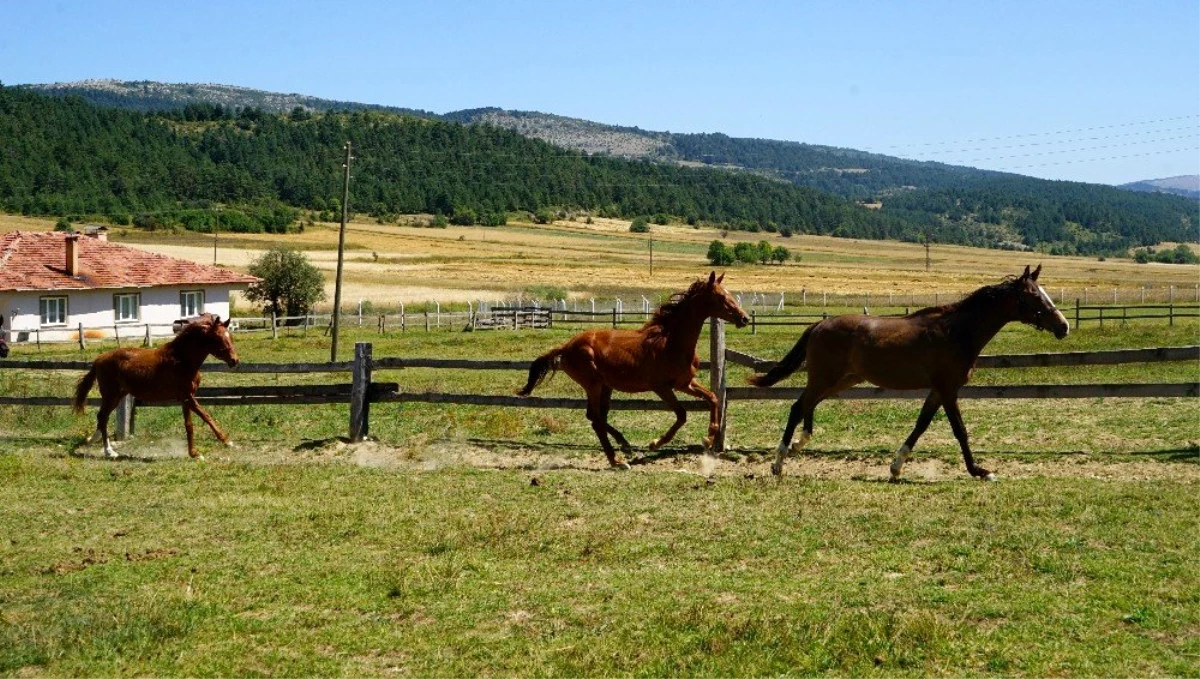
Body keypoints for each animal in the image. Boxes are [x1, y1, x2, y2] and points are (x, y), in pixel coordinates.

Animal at [70, 316, 241, 460]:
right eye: (218, 338)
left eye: (230, 337)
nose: (234, 361)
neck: (181, 359)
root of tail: (99, 359)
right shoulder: (187, 397)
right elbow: (204, 417)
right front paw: (223, 442)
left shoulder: (186, 398)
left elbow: (190, 424)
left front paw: (196, 452)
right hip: (110, 395)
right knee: (103, 417)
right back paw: (109, 451)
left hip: (118, 396)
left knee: (101, 417)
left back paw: (94, 441)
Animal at [518, 271, 748, 467]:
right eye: (720, 296)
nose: (744, 318)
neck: (671, 342)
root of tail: (566, 347)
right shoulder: (662, 387)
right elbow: (682, 414)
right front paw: (655, 443)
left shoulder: (685, 383)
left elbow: (713, 398)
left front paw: (708, 439)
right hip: (592, 384)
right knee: (596, 420)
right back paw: (617, 460)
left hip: (606, 386)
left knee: (595, 416)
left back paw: (625, 446)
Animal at [748, 266, 1070, 484]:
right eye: (1033, 296)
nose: (1063, 326)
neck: (956, 332)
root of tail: (817, 325)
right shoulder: (948, 388)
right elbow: (960, 430)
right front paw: (980, 471)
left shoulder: (938, 390)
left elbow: (921, 425)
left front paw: (896, 467)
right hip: (826, 377)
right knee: (798, 406)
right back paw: (779, 462)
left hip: (841, 379)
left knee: (808, 405)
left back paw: (798, 445)